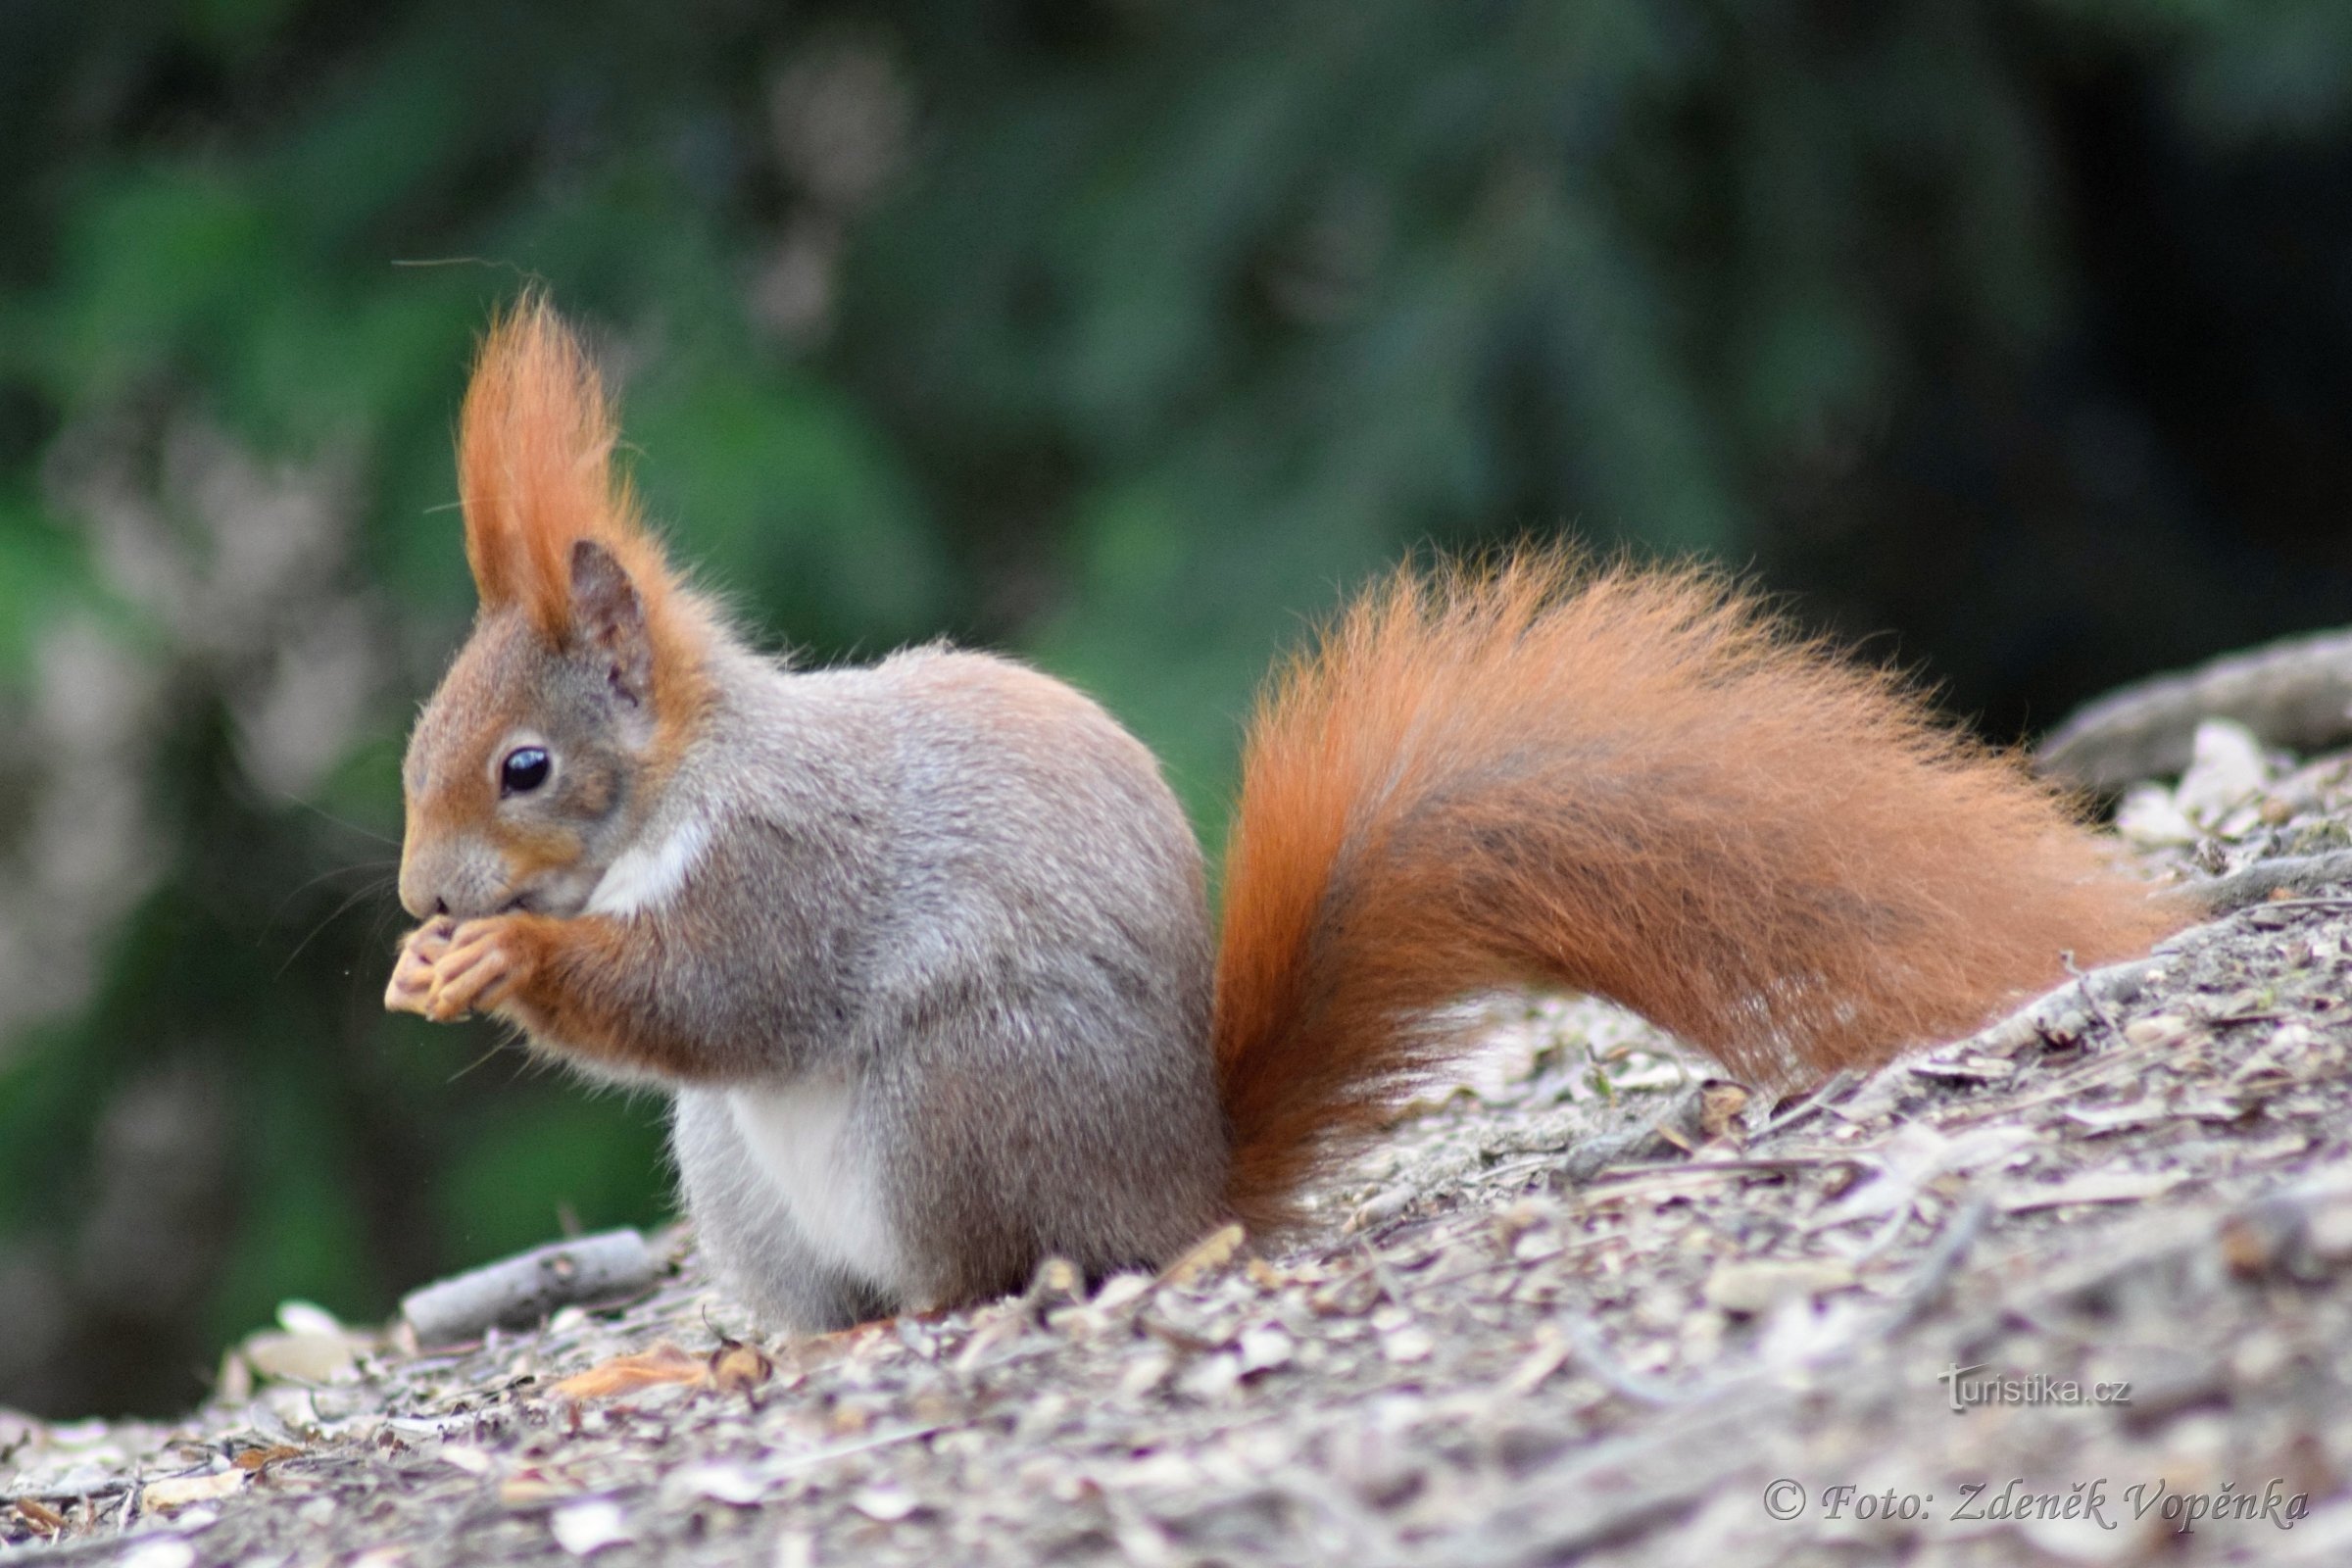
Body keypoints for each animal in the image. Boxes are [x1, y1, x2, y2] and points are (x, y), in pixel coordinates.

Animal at [385, 297, 2182, 1335]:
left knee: (989, 1278)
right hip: (743, 1179)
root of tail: (1185, 1193)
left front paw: (509, 965)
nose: (418, 900)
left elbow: (720, 989)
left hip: (953, 1104)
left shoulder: (792, 862)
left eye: (523, 769)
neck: (681, 788)